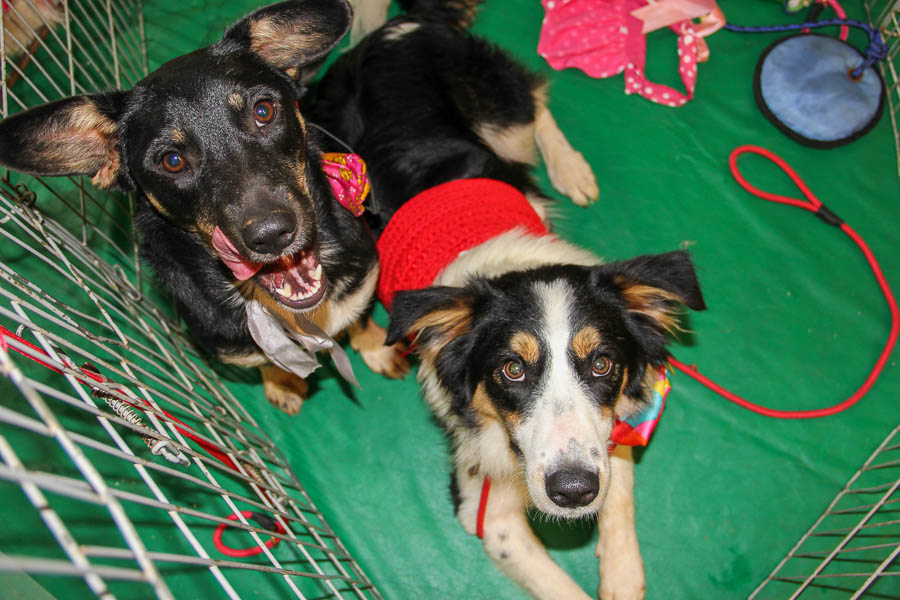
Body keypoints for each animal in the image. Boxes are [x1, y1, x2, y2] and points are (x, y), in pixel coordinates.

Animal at [0, 0, 408, 415]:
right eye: (172, 161)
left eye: (263, 111)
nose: (271, 235)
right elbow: (268, 362)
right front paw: (283, 383)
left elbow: (359, 319)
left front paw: (375, 348)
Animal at [313, 1, 706, 597]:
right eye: (511, 371)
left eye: (603, 363)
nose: (573, 490)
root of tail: (393, 30)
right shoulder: (482, 502)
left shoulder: (609, 433)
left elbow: (619, 491)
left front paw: (622, 575)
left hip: (502, 120)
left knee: (535, 101)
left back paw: (571, 168)